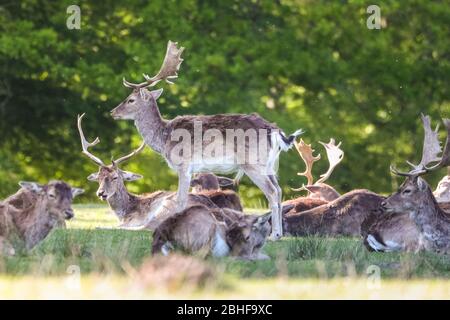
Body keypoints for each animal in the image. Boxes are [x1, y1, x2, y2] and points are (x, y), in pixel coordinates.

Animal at [78, 114, 221, 229]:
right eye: (99, 178)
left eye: (115, 177)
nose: (101, 193)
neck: (125, 211)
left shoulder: (135, 218)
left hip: (166, 206)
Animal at [110, 40, 304, 239]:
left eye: (131, 100)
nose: (113, 112)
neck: (164, 138)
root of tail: (276, 131)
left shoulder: (184, 165)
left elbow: (180, 200)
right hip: (270, 164)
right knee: (279, 190)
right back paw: (279, 234)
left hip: (253, 163)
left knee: (272, 192)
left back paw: (275, 234)